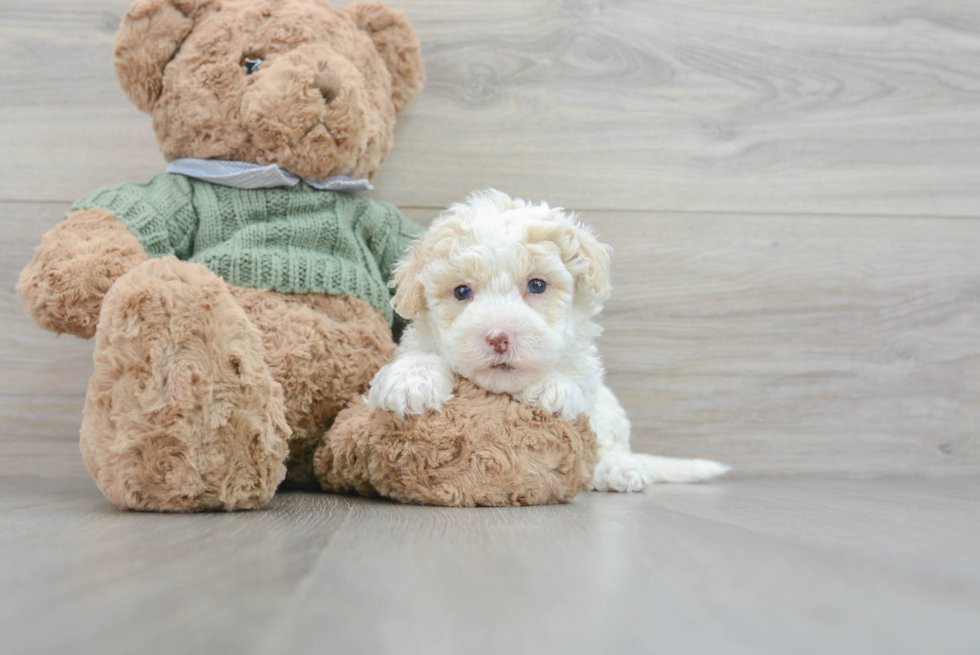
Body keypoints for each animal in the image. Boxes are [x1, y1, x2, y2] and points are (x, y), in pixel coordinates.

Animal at [368, 190, 728, 492]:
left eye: (537, 285)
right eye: (461, 291)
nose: (498, 337)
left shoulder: (587, 374)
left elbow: (575, 384)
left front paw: (550, 386)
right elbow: (418, 358)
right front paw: (412, 380)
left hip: (609, 409)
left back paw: (618, 468)